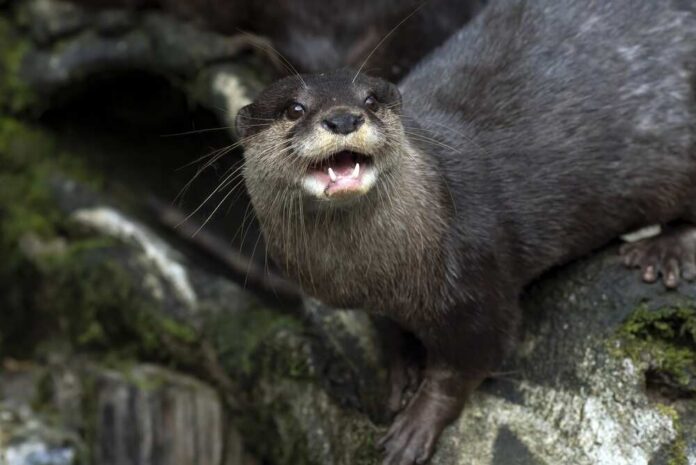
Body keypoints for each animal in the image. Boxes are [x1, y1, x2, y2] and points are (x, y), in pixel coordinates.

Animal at [236, 1, 696, 464]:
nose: (344, 117)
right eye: (294, 109)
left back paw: (664, 250)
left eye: (370, 100)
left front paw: (415, 426)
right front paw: (400, 375)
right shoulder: (374, 302)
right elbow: (391, 335)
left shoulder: (478, 286)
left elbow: (465, 366)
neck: (377, 275)